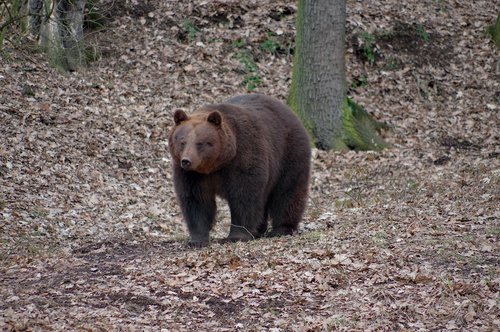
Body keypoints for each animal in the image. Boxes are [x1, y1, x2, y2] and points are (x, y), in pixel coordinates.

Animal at [169, 93, 308, 246]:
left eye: (200, 143)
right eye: (182, 142)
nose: (186, 161)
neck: (216, 164)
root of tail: (290, 111)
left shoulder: (243, 156)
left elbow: (244, 195)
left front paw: (236, 235)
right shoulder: (192, 175)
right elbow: (196, 200)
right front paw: (197, 240)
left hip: (288, 154)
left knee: (287, 192)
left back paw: (281, 229)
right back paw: (259, 230)